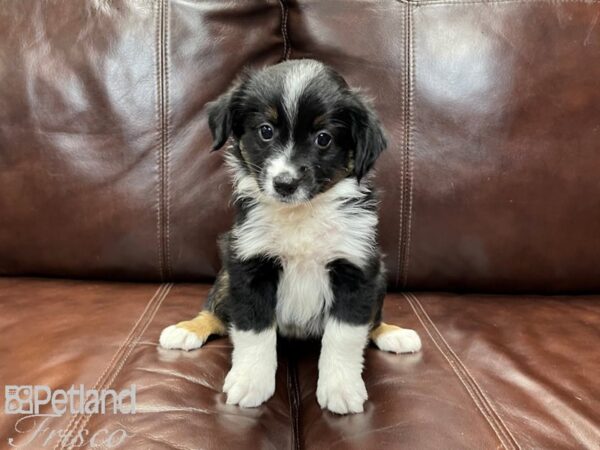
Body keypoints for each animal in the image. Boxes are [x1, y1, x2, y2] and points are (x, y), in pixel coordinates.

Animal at [159, 59, 422, 414]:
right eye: (265, 131)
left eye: (323, 138)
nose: (285, 183)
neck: (301, 214)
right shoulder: (248, 263)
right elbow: (253, 329)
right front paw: (250, 381)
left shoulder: (356, 268)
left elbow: (345, 334)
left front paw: (341, 387)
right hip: (226, 275)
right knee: (216, 311)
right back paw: (187, 329)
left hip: (379, 280)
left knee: (373, 321)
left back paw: (394, 334)